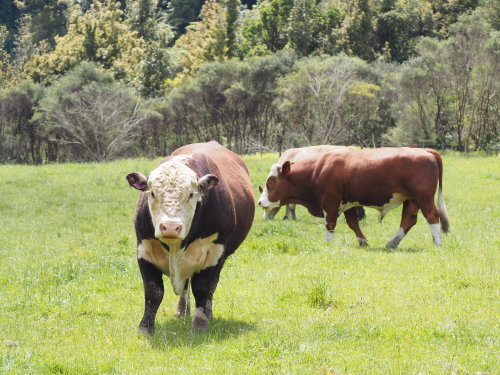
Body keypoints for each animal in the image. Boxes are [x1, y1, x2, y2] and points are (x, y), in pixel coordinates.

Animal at [127, 142, 256, 334]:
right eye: (152, 193)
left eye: (191, 194)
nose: (170, 227)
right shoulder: (144, 250)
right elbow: (153, 291)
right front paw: (145, 327)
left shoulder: (214, 252)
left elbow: (202, 288)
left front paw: (200, 324)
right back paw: (181, 311)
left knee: (210, 286)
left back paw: (208, 313)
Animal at [258, 148, 450, 250]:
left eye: (271, 182)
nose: (260, 202)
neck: (317, 169)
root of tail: (424, 150)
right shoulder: (348, 203)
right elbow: (353, 223)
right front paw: (363, 241)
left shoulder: (330, 201)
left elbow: (330, 223)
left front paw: (328, 243)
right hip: (411, 199)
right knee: (408, 219)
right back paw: (392, 243)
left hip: (423, 198)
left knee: (432, 216)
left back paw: (437, 243)